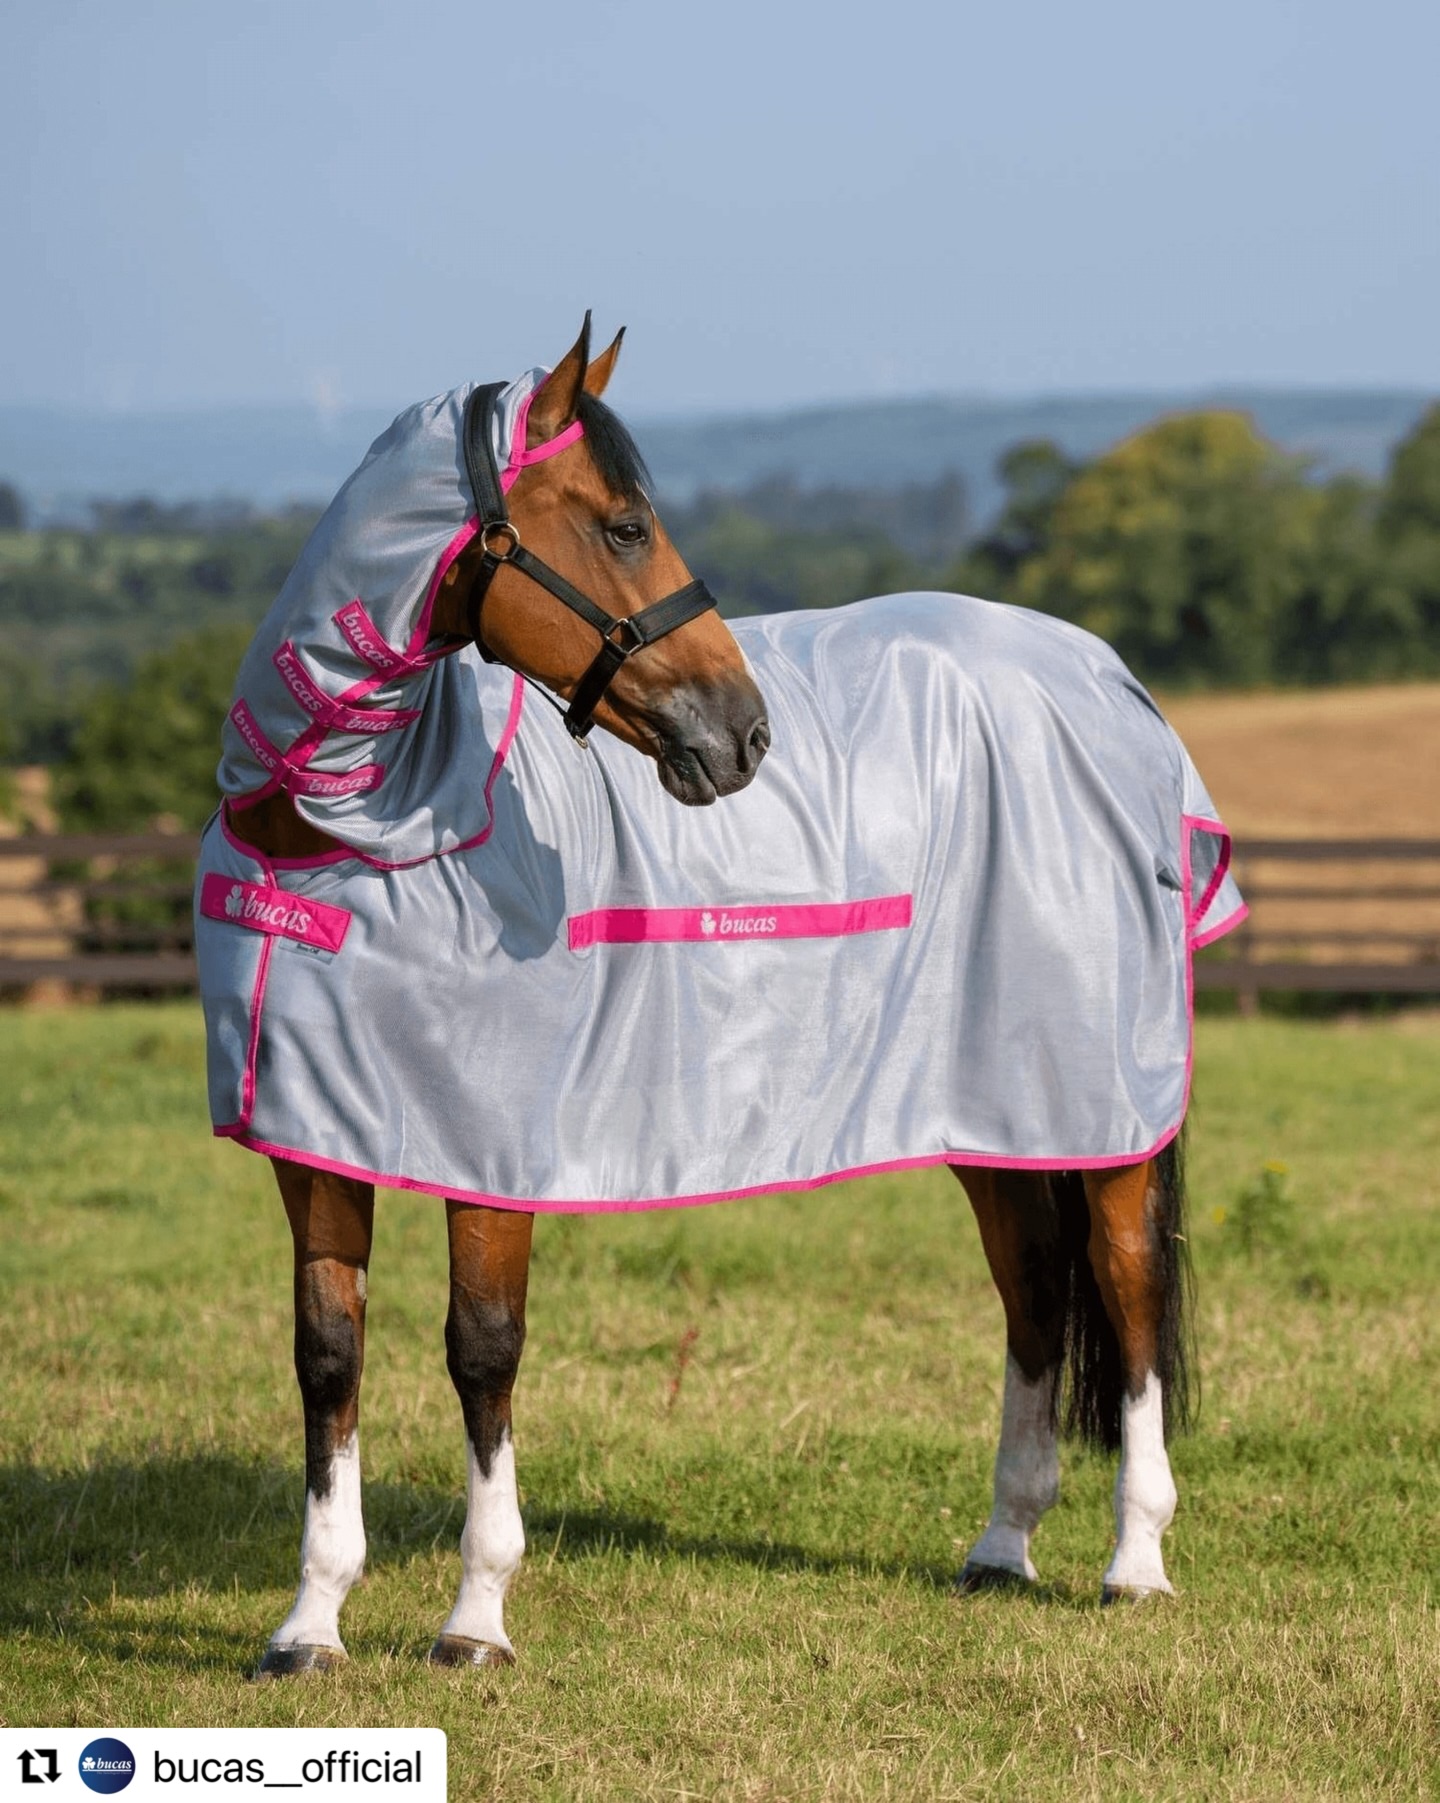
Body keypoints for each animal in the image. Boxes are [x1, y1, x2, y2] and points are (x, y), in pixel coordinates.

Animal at [198, 317, 1244, 1675]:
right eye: (625, 524)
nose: (745, 735)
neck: (348, 834)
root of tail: (1108, 680)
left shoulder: (492, 1150)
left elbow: (483, 1350)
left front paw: (476, 1620)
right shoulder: (314, 1143)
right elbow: (328, 1359)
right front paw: (310, 1624)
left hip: (1099, 1102)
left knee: (1125, 1297)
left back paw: (1135, 1564)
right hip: (992, 1106)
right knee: (1031, 1291)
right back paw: (1001, 1548)